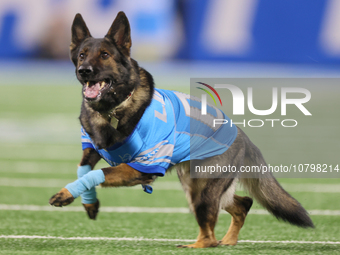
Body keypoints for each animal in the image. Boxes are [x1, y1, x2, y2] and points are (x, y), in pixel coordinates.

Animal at [49, 11, 314, 247]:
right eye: (82, 55)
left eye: (104, 55)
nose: (84, 71)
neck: (113, 109)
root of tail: (243, 136)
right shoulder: (93, 149)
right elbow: (83, 170)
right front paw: (87, 201)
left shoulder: (143, 167)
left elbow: (97, 173)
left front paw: (69, 193)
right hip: (197, 185)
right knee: (242, 205)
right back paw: (227, 240)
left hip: (202, 189)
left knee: (210, 235)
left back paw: (197, 246)